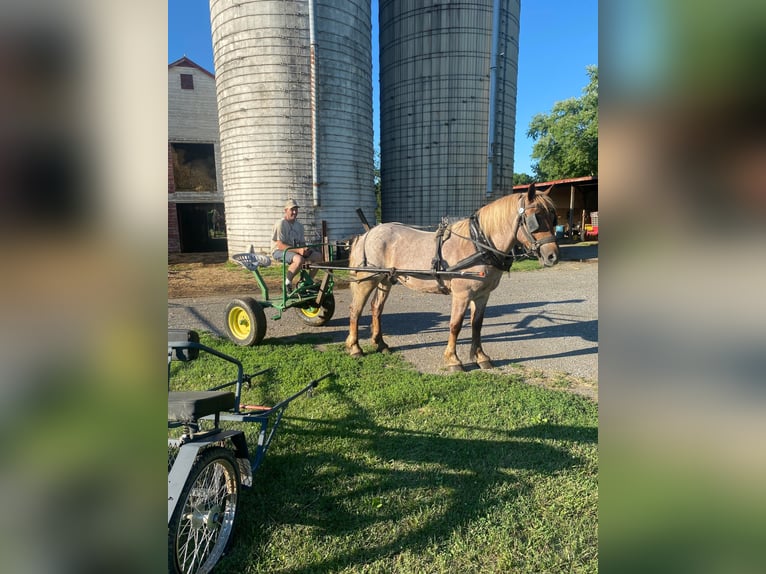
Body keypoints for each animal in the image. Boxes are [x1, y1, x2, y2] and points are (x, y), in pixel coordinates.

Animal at [344, 184, 560, 374]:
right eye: (535, 219)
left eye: (553, 217)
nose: (553, 256)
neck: (479, 244)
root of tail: (368, 233)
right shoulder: (462, 295)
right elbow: (455, 325)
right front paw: (453, 360)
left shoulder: (482, 295)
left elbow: (477, 325)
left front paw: (481, 357)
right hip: (367, 281)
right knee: (355, 310)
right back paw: (355, 348)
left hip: (385, 280)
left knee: (376, 309)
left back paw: (380, 344)